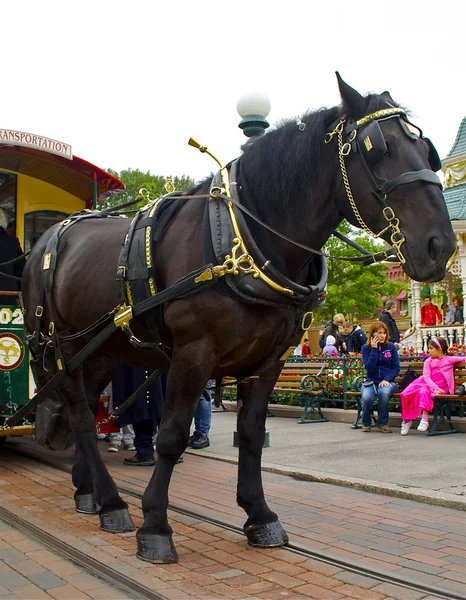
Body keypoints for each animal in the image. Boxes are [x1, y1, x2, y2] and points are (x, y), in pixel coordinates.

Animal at [21, 74, 456, 564]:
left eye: (428, 151)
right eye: (376, 148)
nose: (441, 245)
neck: (247, 240)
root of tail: (45, 240)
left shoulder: (270, 360)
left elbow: (250, 434)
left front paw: (259, 515)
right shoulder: (193, 354)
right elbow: (171, 436)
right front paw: (155, 526)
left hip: (102, 350)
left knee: (87, 407)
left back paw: (90, 492)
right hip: (59, 347)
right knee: (79, 413)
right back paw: (114, 504)